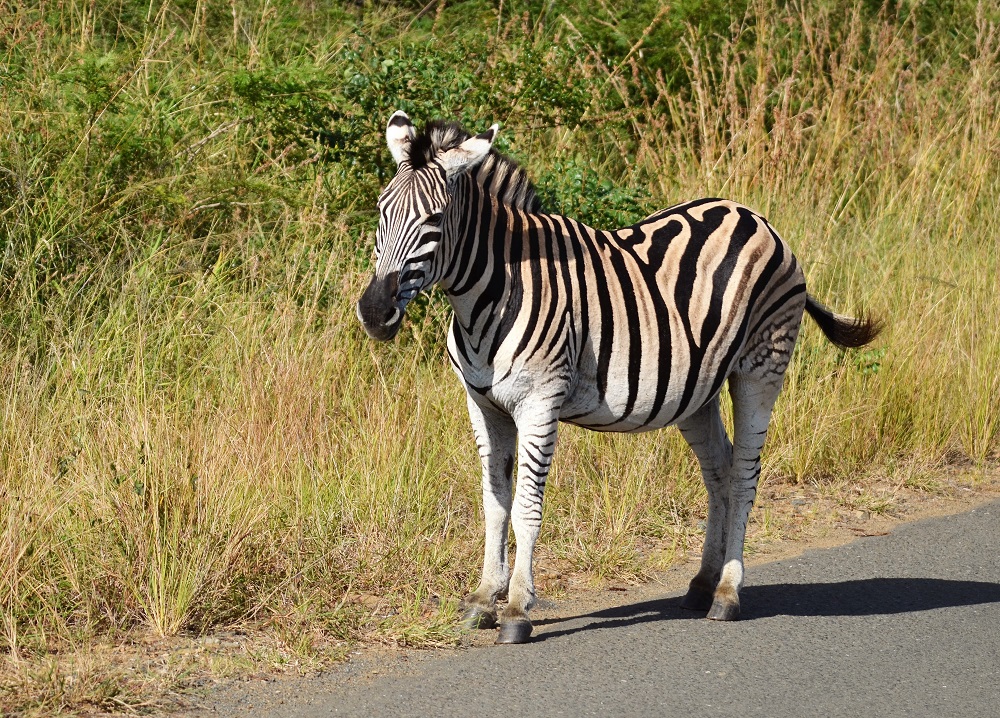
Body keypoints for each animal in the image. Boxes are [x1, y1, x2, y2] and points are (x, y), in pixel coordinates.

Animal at [356, 111, 881, 644]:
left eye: (435, 220)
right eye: (380, 211)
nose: (374, 312)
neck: (491, 294)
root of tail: (754, 216)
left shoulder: (541, 401)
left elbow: (526, 507)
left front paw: (517, 609)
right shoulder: (483, 405)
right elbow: (494, 503)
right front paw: (483, 599)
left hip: (760, 369)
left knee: (744, 475)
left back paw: (728, 594)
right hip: (696, 391)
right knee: (719, 471)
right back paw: (702, 584)